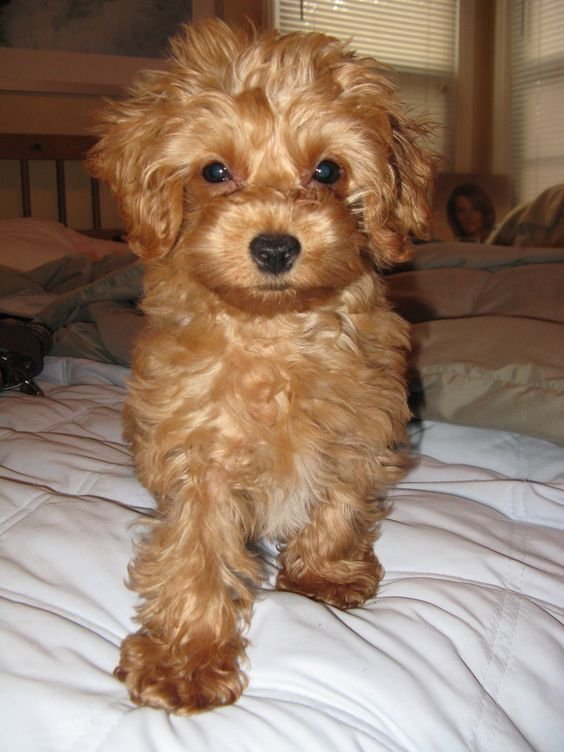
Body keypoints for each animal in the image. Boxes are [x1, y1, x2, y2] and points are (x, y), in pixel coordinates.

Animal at [88, 16, 434, 712]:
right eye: (215, 170)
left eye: (327, 170)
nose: (275, 246)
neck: (275, 336)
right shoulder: (201, 454)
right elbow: (197, 550)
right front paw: (185, 659)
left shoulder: (361, 424)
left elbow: (340, 499)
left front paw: (325, 571)